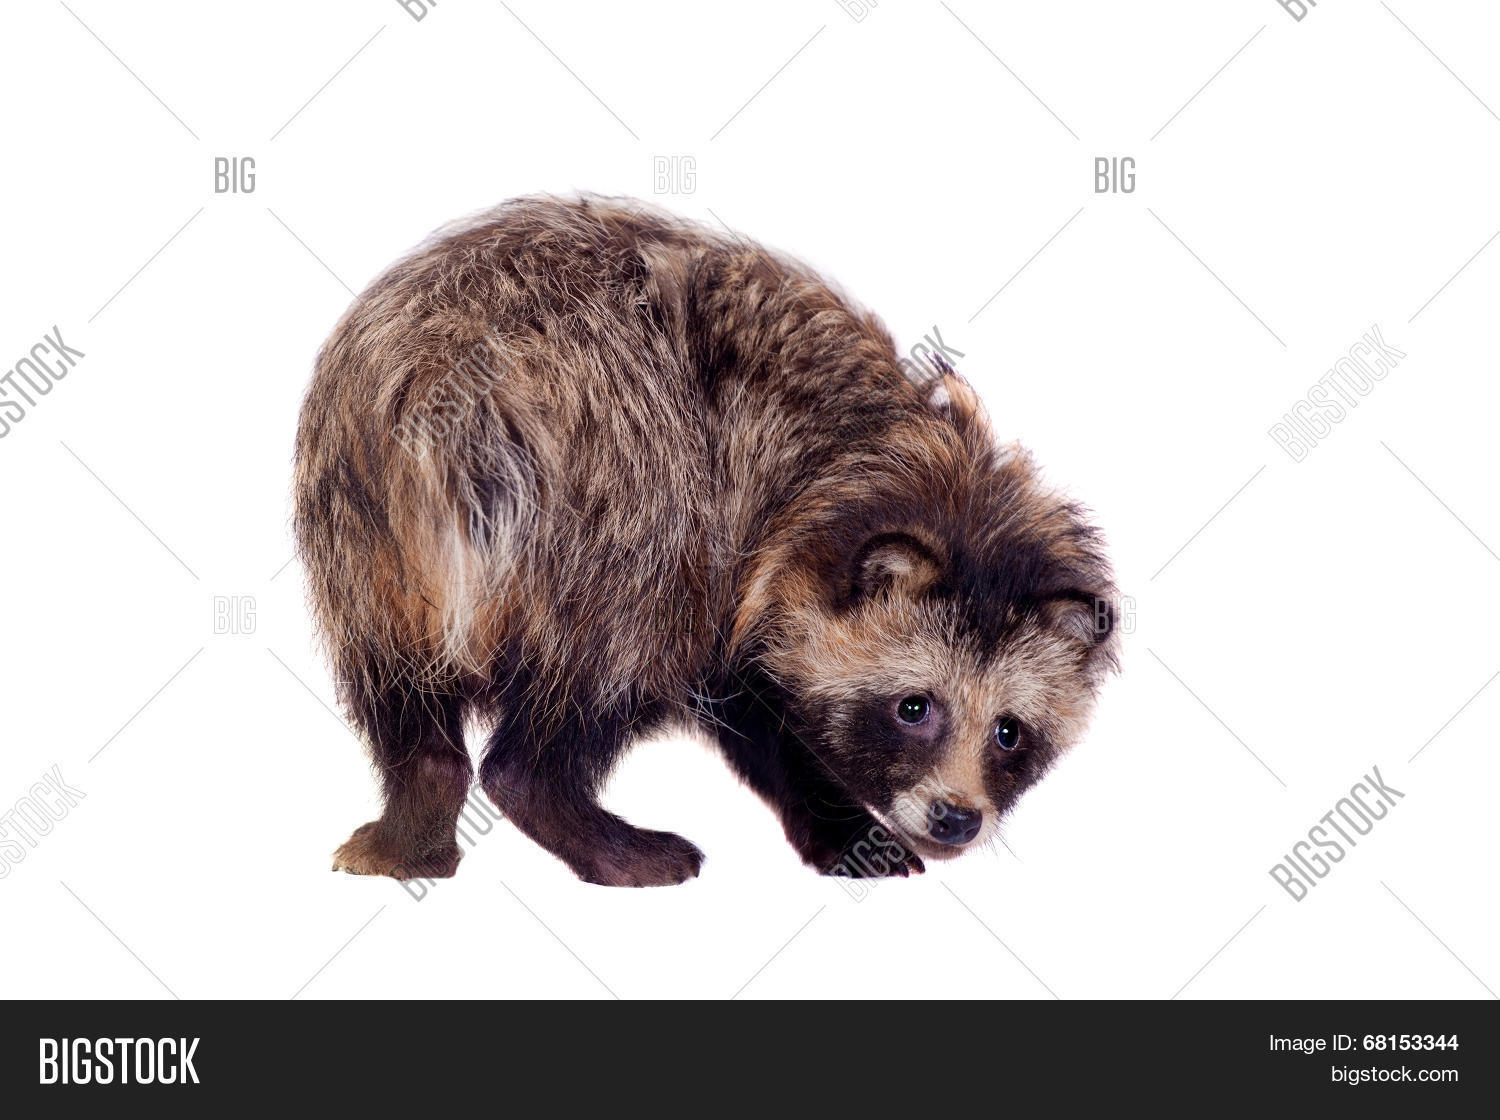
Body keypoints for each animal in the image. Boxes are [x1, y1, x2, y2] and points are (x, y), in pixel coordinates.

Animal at [294, 195, 1118, 887]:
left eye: (1010, 732)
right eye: (913, 708)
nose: (955, 818)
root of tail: (450, 385)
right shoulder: (746, 528)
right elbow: (747, 695)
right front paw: (835, 814)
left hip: (366, 534)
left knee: (396, 679)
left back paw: (418, 805)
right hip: (618, 494)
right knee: (622, 644)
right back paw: (563, 808)